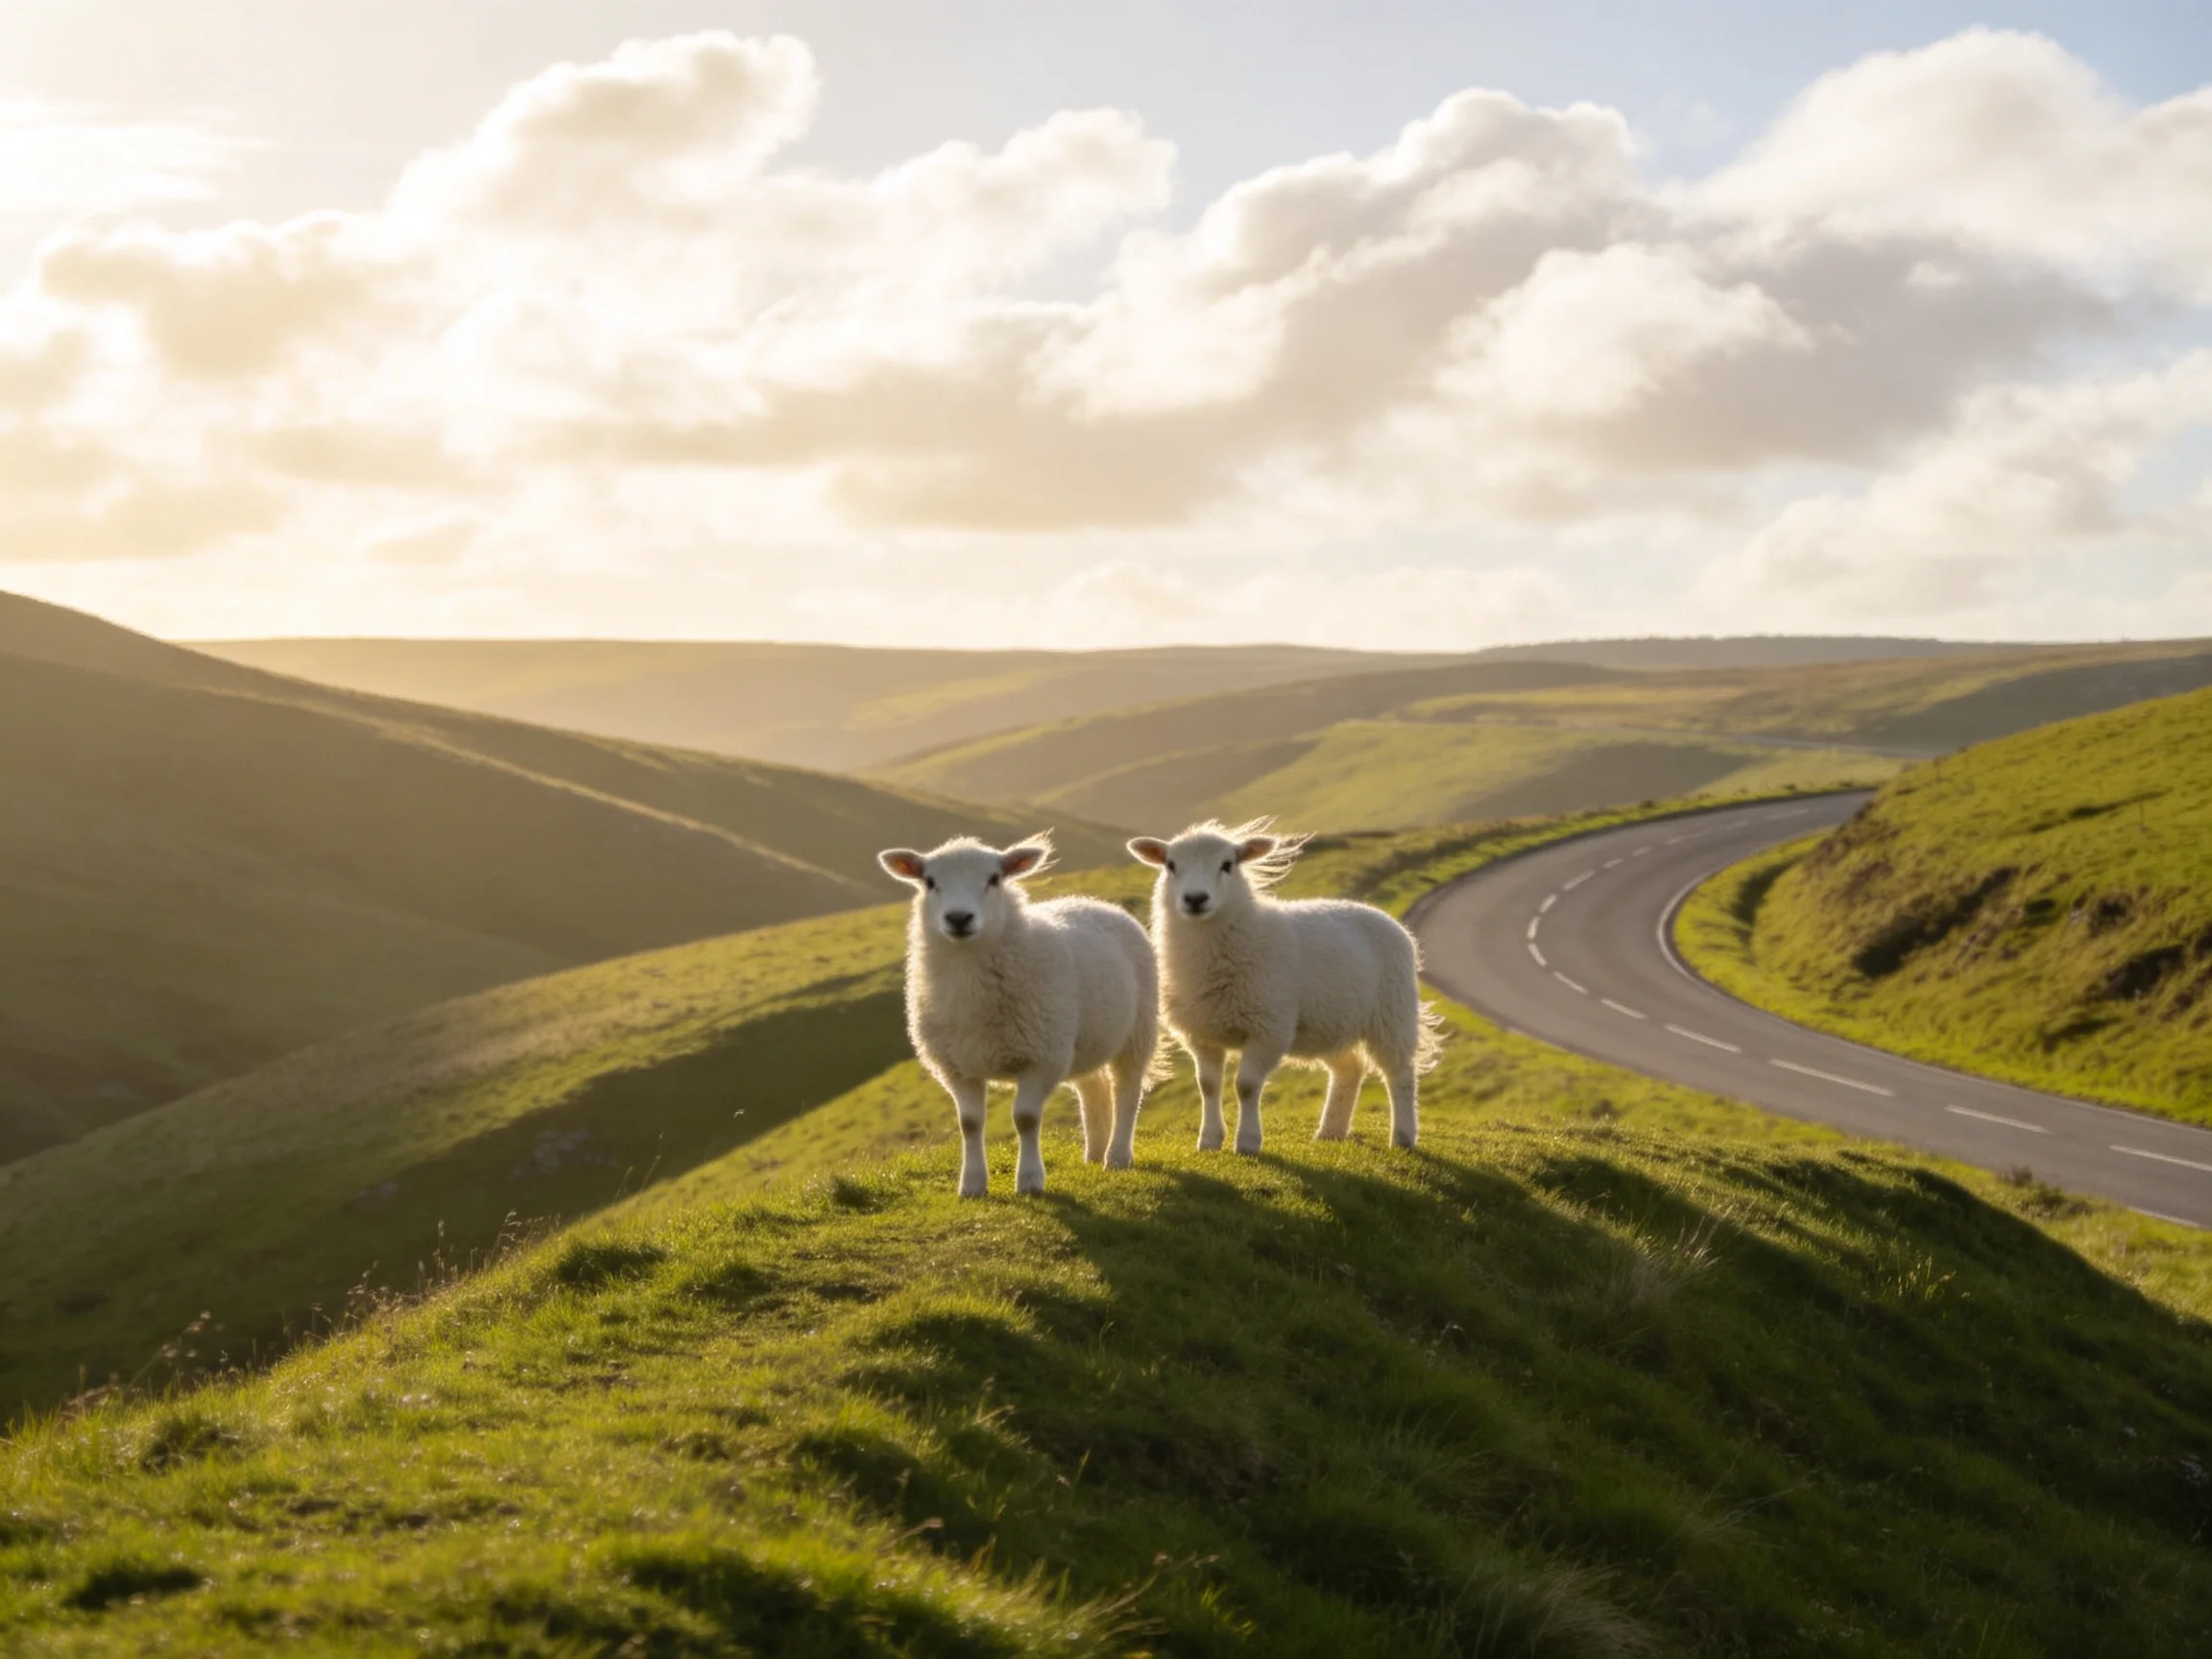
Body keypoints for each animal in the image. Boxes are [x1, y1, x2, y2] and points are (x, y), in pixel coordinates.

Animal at [877, 833, 1160, 1198]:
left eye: (994, 879)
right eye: (929, 882)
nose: (958, 918)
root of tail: (1096, 902)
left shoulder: (1041, 1058)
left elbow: (1025, 1118)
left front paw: (1029, 1180)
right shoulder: (957, 1066)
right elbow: (969, 1124)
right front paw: (972, 1185)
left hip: (1136, 1032)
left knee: (1127, 1092)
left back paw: (1117, 1156)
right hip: (1081, 1041)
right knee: (1093, 1091)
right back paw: (1094, 1153)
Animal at [1129, 819, 1441, 1154]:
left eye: (1227, 864)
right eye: (1171, 865)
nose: (1195, 899)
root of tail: (1391, 922)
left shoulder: (1269, 1028)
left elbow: (1246, 1086)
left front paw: (1248, 1142)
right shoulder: (1202, 1034)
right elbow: (1208, 1086)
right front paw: (1209, 1140)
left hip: (1392, 1015)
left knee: (1401, 1074)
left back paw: (1403, 1136)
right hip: (1331, 1024)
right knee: (1349, 1068)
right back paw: (1330, 1131)